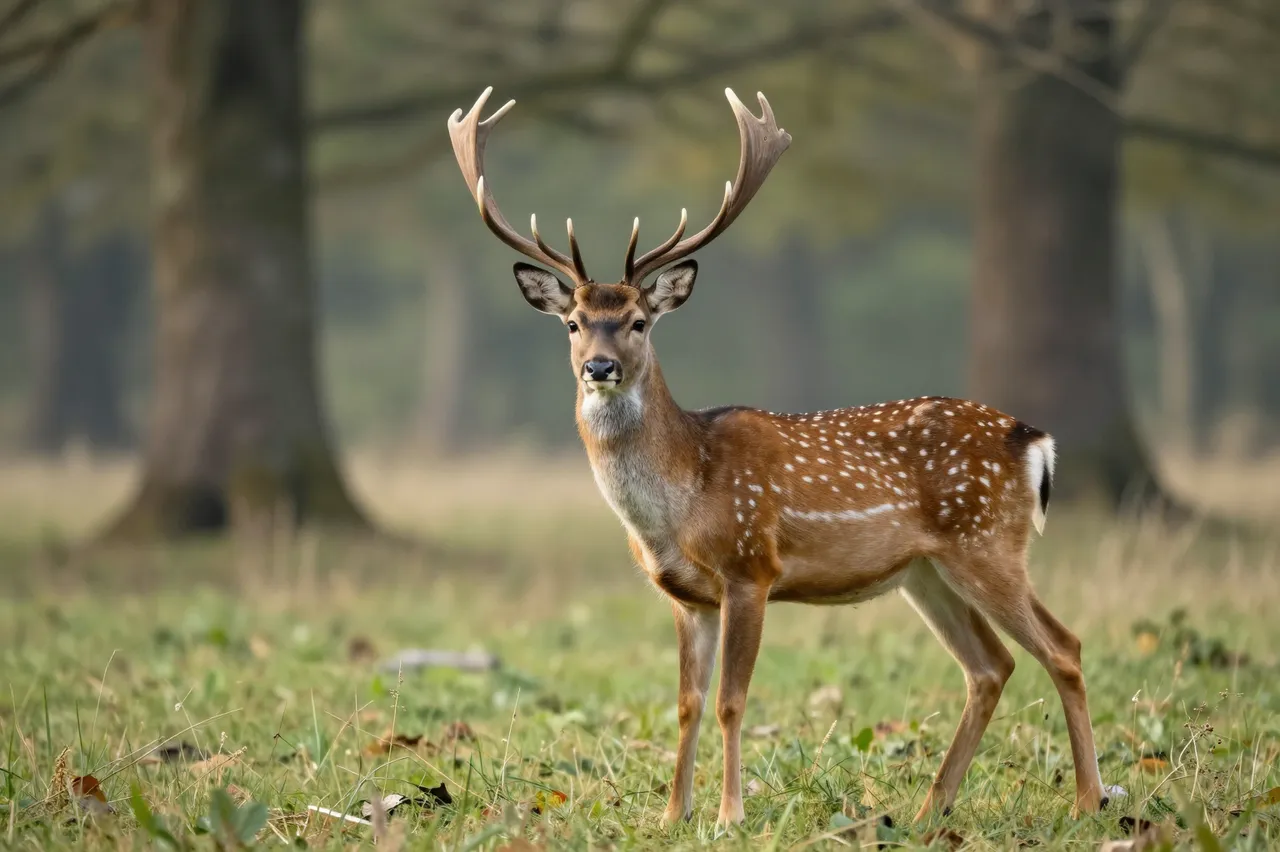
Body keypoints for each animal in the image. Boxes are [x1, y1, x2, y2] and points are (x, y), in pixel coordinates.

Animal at [447, 86, 1123, 829]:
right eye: (572, 322)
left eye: (638, 322)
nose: (600, 367)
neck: (680, 499)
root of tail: (1035, 441)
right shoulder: (685, 596)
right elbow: (685, 704)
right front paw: (671, 815)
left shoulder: (751, 568)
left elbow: (730, 700)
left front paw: (728, 816)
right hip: (927, 572)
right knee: (991, 666)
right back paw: (929, 808)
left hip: (988, 542)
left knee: (1063, 646)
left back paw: (1088, 799)